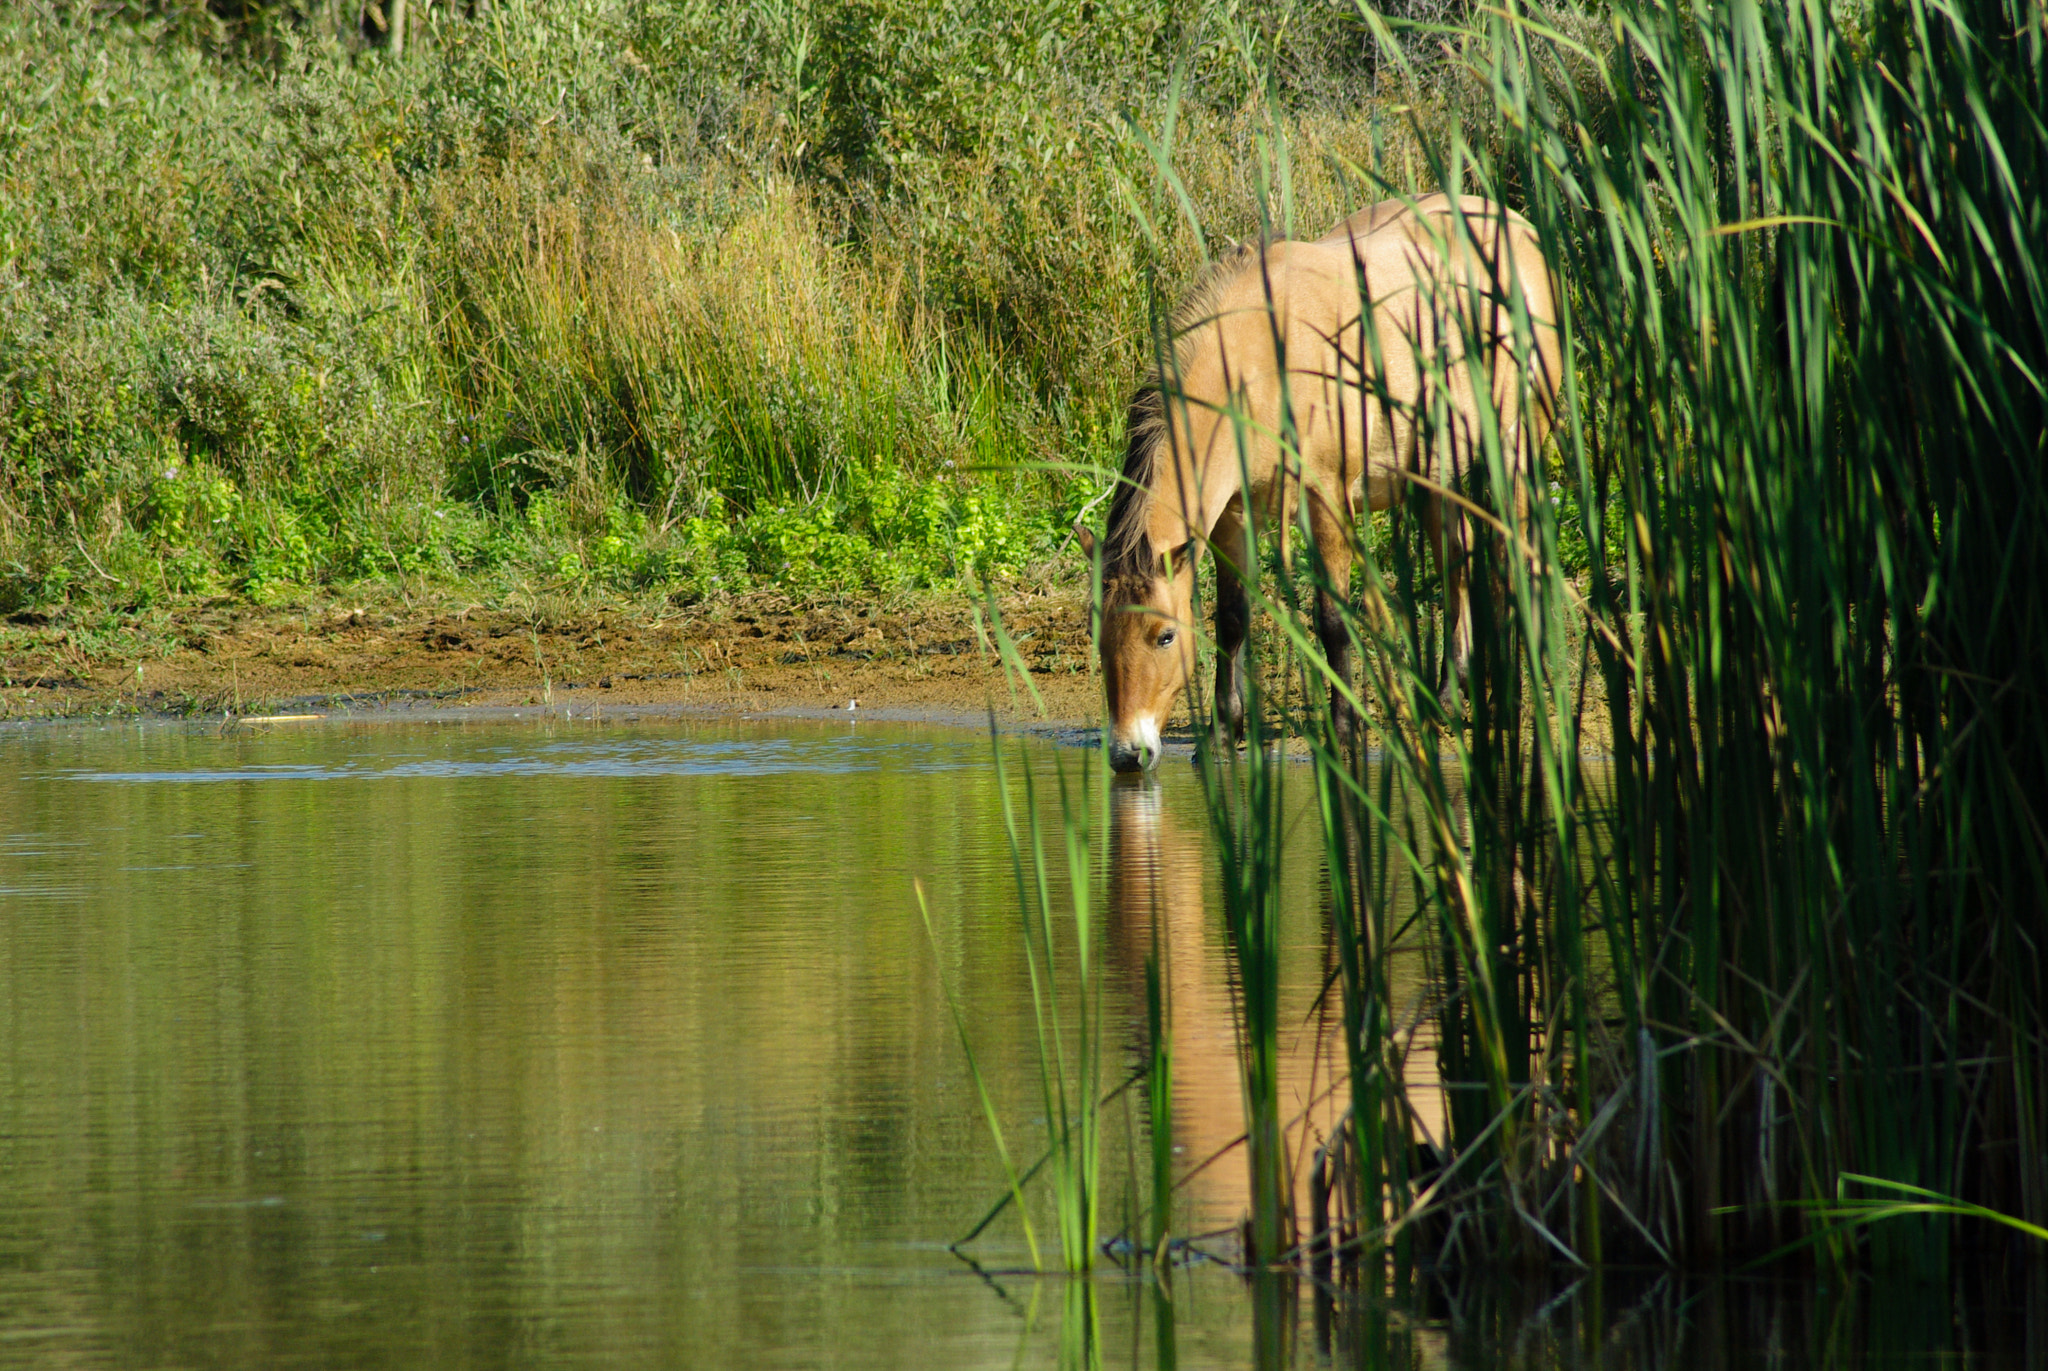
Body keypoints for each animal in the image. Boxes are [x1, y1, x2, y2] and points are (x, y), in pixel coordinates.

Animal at [1081, 194, 1556, 770]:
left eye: (1164, 636)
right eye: (1097, 634)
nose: (1128, 753)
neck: (1260, 359)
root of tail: (1519, 227)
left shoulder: (1326, 502)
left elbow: (1331, 620)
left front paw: (1345, 732)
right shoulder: (1231, 518)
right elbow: (1232, 619)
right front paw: (1221, 734)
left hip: (1515, 450)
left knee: (1519, 557)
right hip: (1432, 477)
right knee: (1456, 564)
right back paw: (1447, 696)